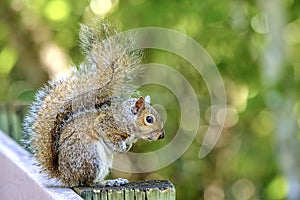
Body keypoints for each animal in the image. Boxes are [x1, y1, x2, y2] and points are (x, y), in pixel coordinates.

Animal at [22, 21, 165, 187]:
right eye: (149, 119)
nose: (162, 135)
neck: (127, 117)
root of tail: (65, 176)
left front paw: (127, 146)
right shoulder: (107, 123)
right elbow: (108, 134)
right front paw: (122, 147)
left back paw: (115, 180)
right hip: (89, 156)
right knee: (87, 181)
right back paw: (106, 182)